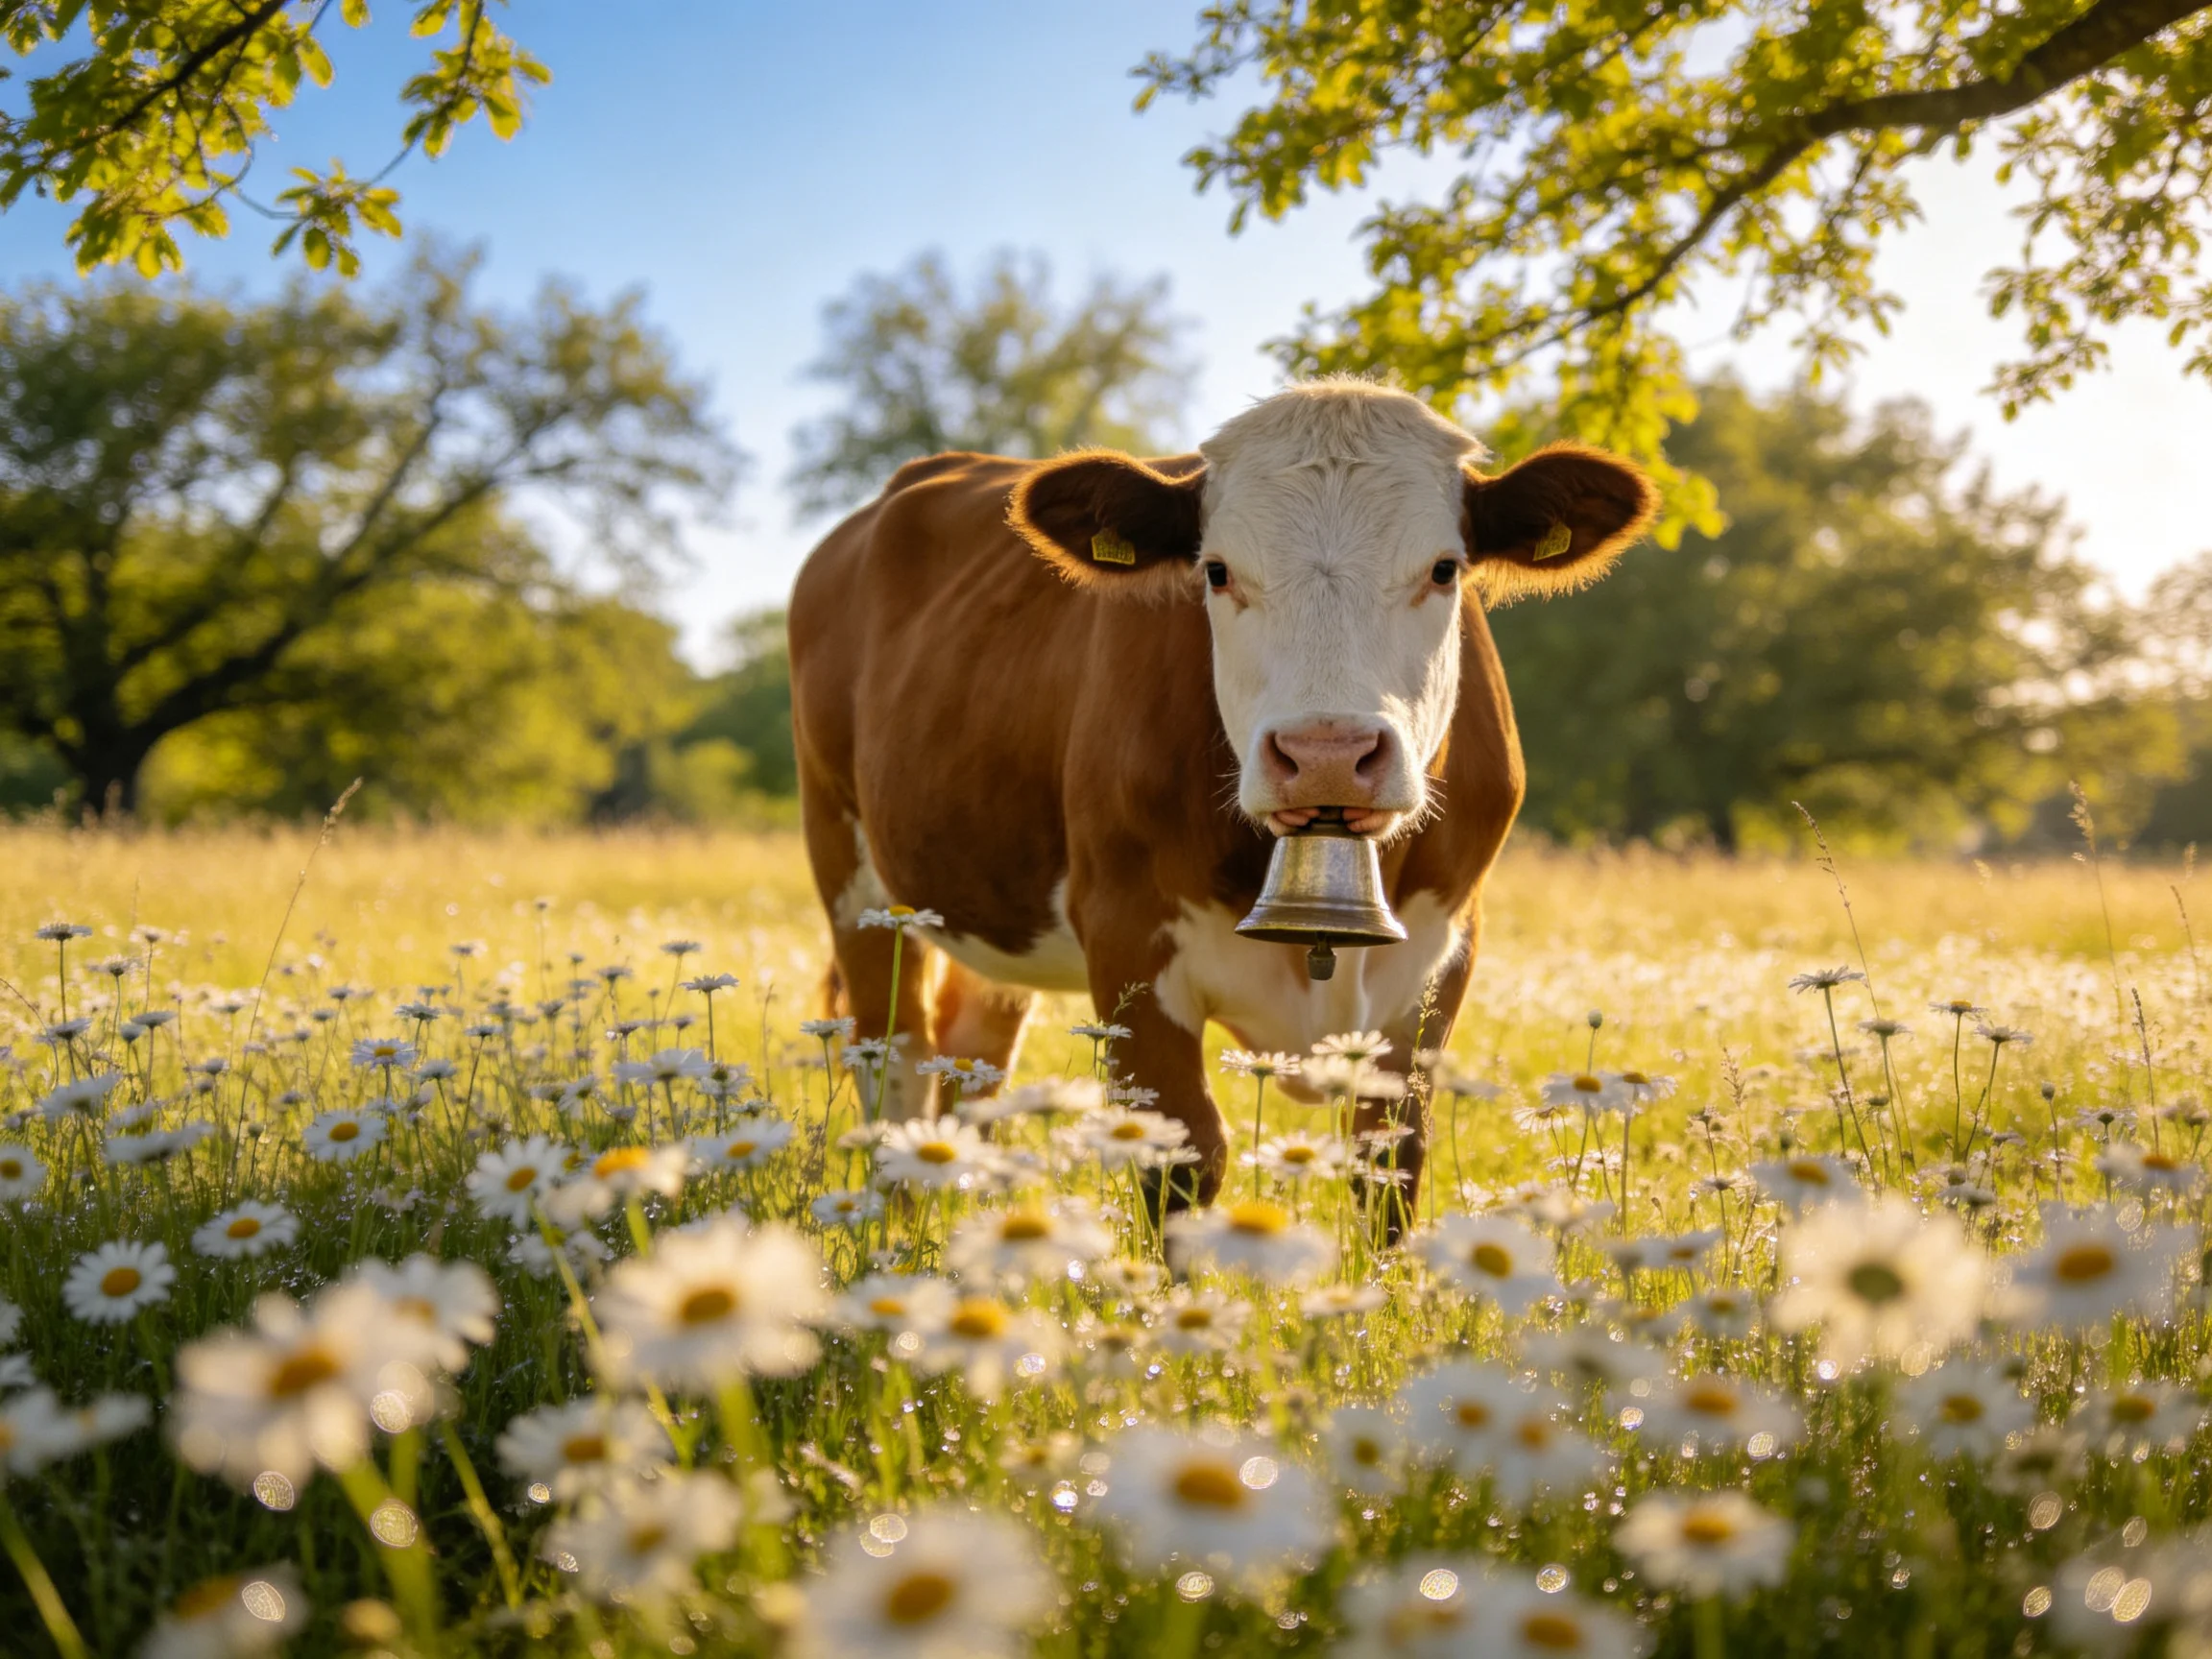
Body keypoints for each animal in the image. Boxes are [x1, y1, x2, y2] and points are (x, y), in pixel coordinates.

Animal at [788, 379, 1655, 1212]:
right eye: (1216, 569)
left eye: (1445, 568)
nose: (1326, 755)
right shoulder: (1128, 938)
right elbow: (1183, 1161)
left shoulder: (1444, 951)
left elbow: (1390, 1168)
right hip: (854, 879)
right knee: (896, 1063)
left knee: (973, 1059)